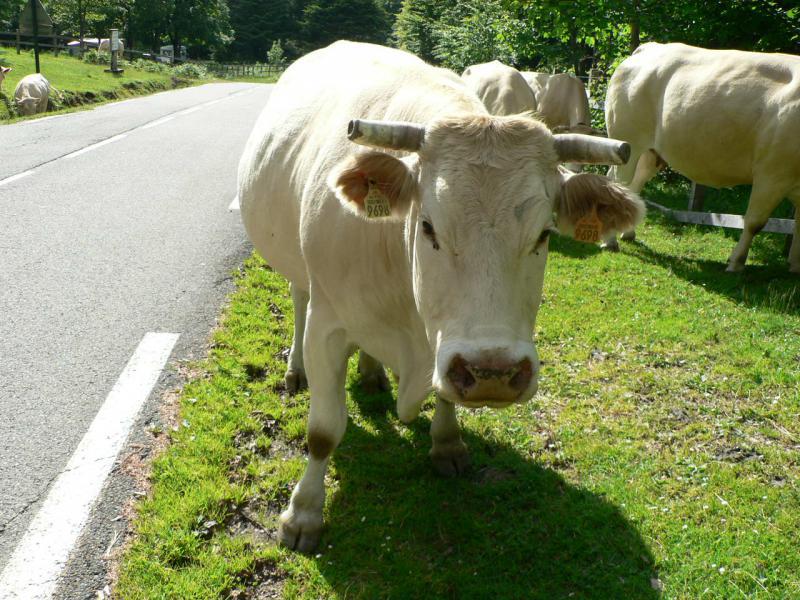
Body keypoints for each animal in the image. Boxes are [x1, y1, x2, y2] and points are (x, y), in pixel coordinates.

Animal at [236, 39, 644, 552]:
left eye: (545, 234)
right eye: (428, 225)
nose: (494, 372)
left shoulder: (444, 341)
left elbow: (445, 392)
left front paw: (447, 442)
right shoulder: (327, 326)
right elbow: (324, 431)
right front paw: (303, 514)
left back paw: (372, 372)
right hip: (296, 267)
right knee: (297, 297)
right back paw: (295, 369)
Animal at [608, 39, 800, 270]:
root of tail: (650, 47)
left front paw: (795, 266)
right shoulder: (772, 174)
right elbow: (755, 222)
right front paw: (736, 263)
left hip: (650, 153)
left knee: (631, 185)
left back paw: (627, 233)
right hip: (629, 142)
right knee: (618, 184)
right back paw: (610, 241)